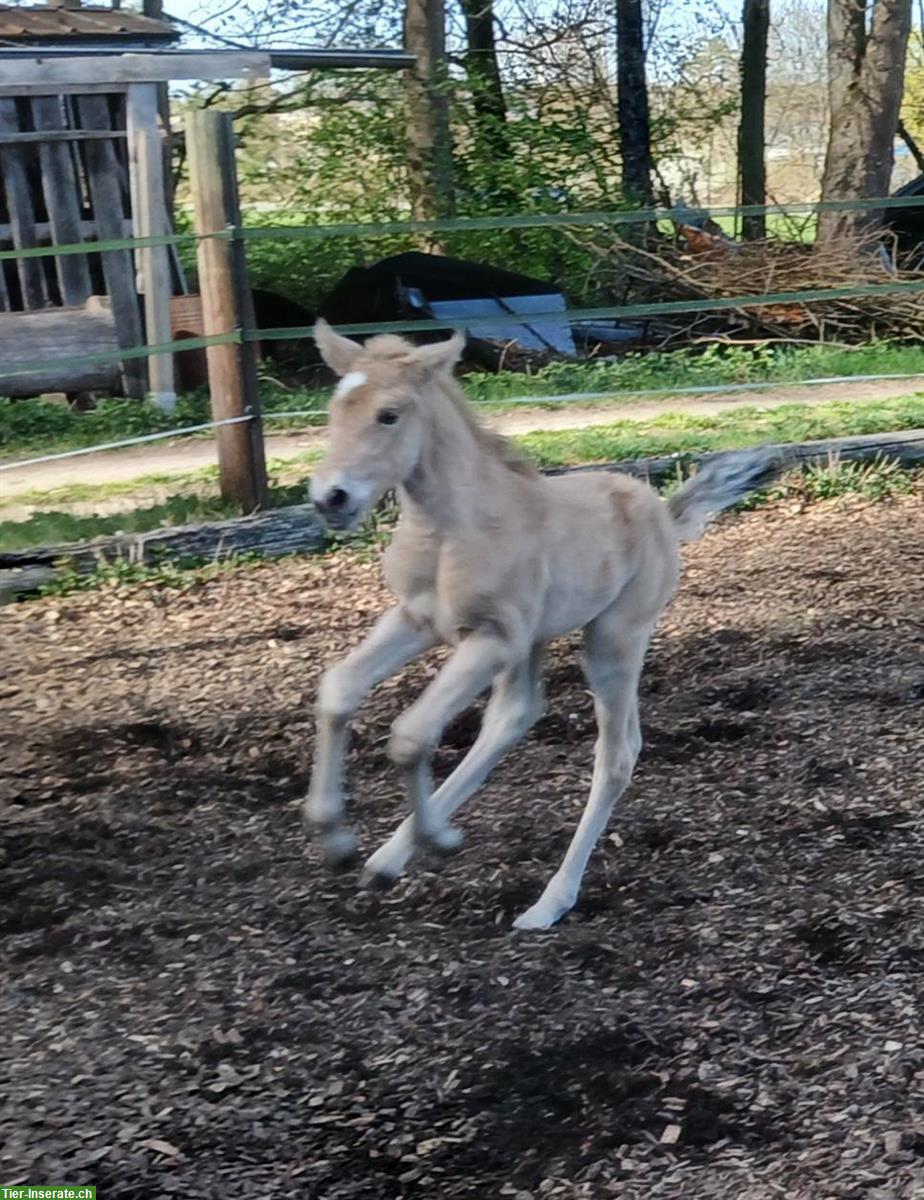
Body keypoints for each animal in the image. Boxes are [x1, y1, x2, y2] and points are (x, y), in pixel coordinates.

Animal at [302, 324, 768, 931]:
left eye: (389, 415)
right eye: (335, 408)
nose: (330, 499)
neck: (450, 531)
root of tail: (664, 514)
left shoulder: (492, 638)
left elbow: (410, 734)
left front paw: (438, 839)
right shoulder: (417, 619)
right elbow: (338, 690)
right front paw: (336, 841)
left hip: (613, 639)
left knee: (615, 754)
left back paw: (547, 903)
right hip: (536, 641)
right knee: (512, 718)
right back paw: (386, 860)